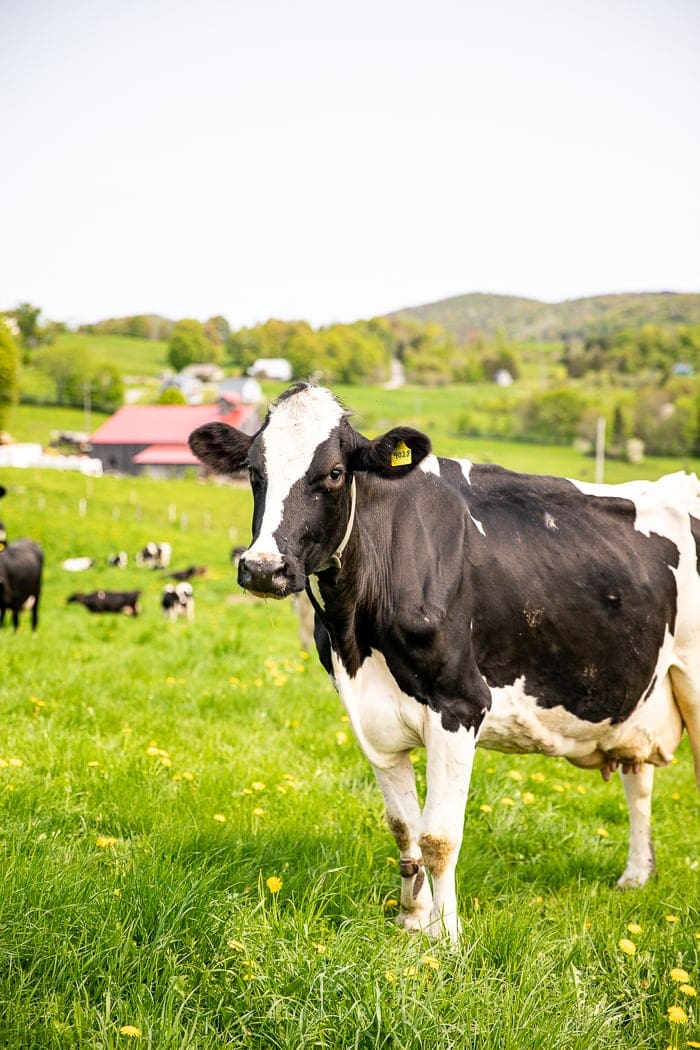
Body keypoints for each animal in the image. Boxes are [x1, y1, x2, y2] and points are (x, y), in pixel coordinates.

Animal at [185, 386, 700, 944]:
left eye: (335, 473)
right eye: (254, 471)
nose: (263, 569)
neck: (358, 634)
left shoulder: (460, 704)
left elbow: (438, 837)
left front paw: (447, 939)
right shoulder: (369, 712)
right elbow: (404, 828)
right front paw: (413, 922)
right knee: (638, 779)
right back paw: (635, 876)